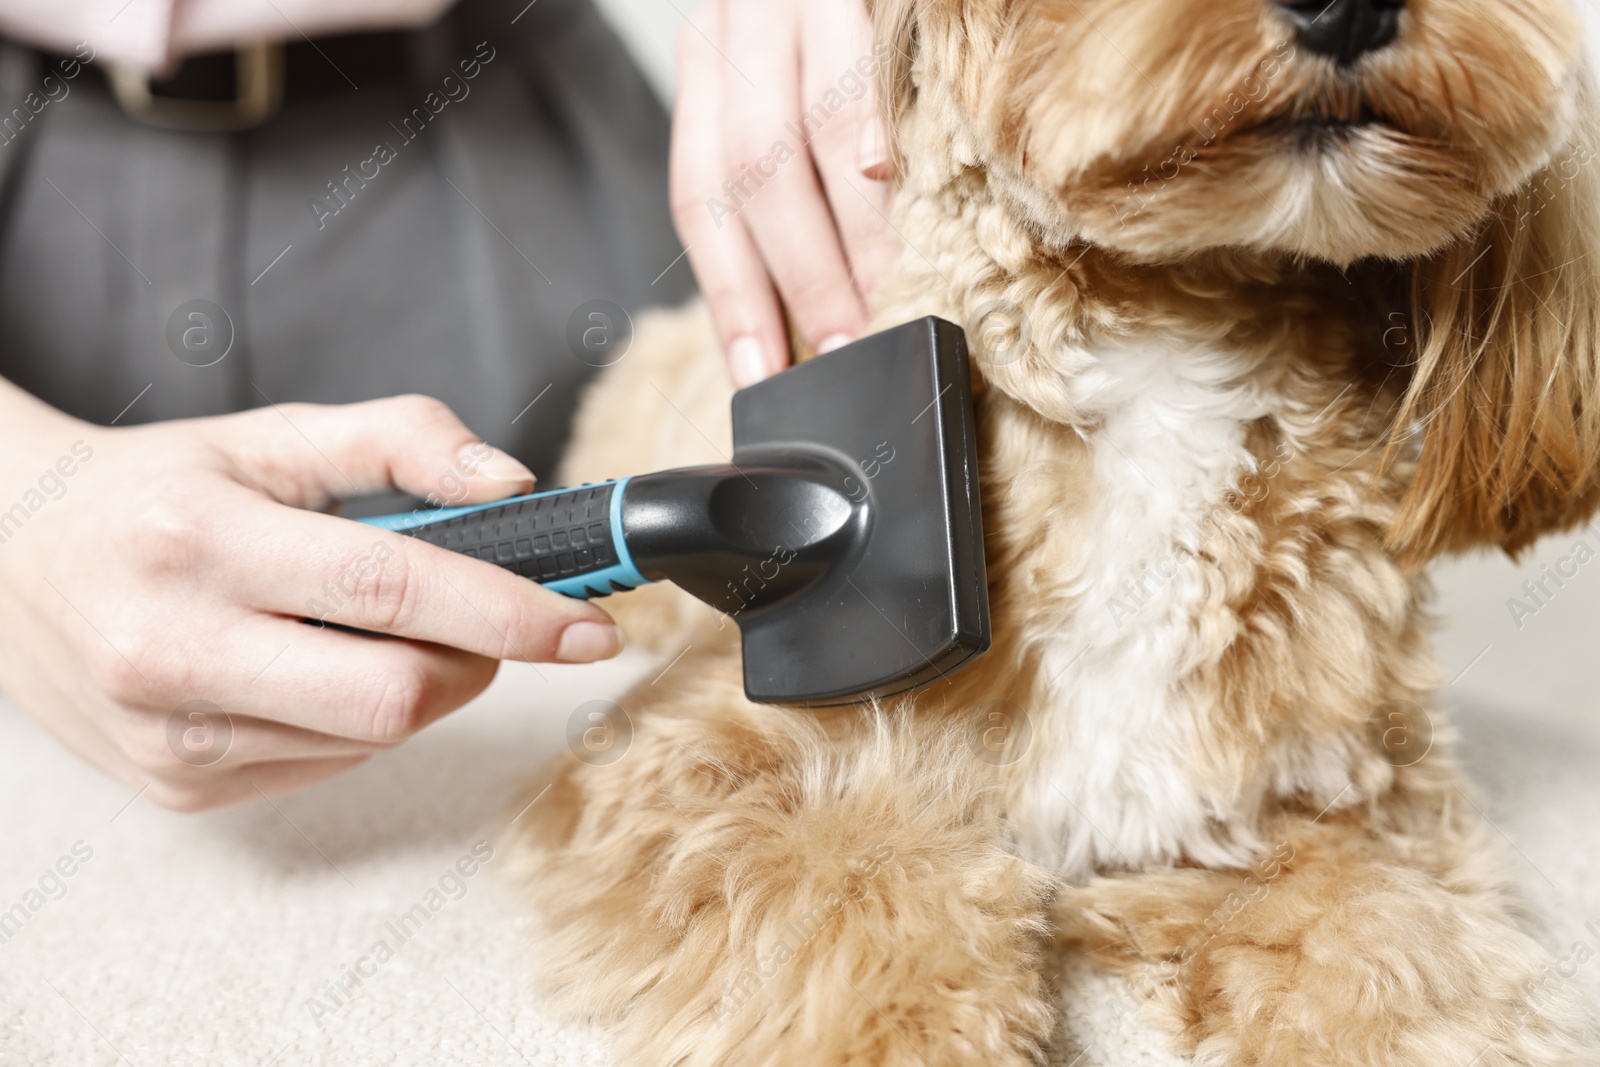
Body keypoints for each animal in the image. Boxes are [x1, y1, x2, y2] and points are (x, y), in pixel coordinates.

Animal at [508, 0, 1600, 1062]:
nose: (1350, 6)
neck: (1180, 337)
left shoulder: (1348, 796)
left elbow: (1387, 933)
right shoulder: (694, 744)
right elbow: (842, 874)